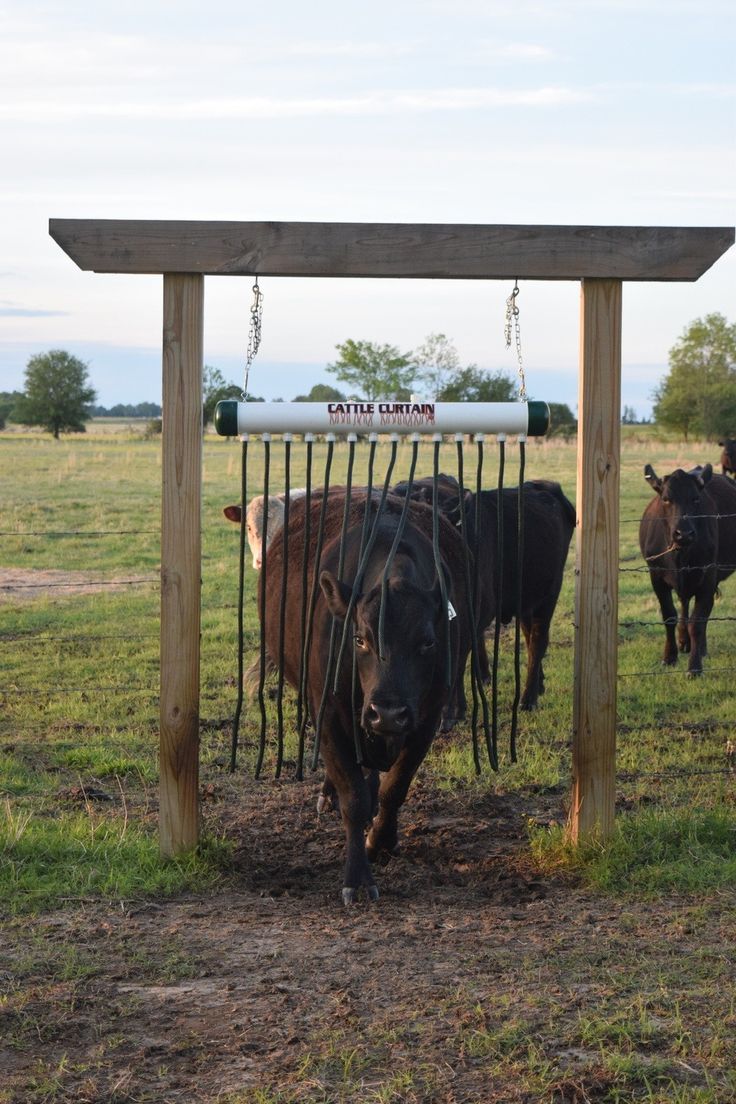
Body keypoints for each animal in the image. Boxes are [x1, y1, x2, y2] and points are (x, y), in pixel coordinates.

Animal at [264, 492, 470, 905]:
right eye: (359, 639)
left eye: (428, 641)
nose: (387, 713)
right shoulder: (327, 713)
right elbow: (353, 799)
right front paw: (357, 877)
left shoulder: (426, 718)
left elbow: (396, 786)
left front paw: (382, 839)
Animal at [635, 463, 736, 671]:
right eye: (666, 499)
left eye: (696, 498)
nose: (684, 533)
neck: (679, 556)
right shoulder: (656, 577)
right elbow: (669, 616)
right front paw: (669, 656)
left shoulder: (708, 577)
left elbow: (697, 622)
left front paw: (694, 666)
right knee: (684, 602)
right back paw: (684, 641)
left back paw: (699, 647)